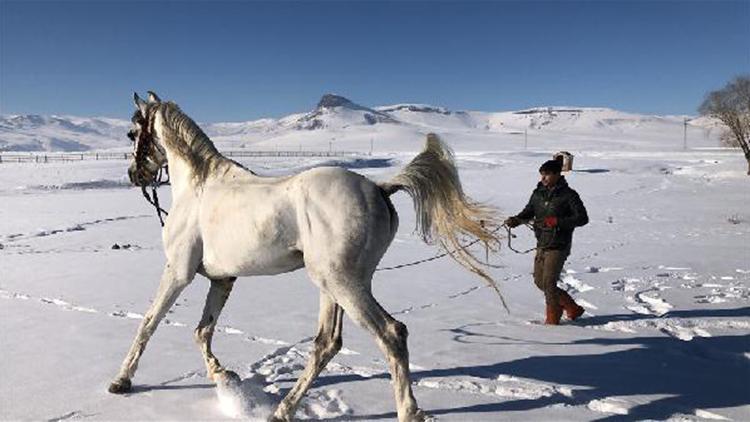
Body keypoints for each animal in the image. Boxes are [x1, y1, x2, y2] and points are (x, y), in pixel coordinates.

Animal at [108, 93, 506, 422]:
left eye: (131, 132)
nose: (134, 175)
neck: (199, 187)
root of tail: (379, 188)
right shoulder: (222, 279)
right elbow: (202, 331)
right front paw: (223, 377)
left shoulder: (179, 272)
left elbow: (149, 323)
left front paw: (121, 381)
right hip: (334, 284)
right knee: (326, 343)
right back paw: (283, 410)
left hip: (341, 283)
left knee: (391, 334)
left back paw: (407, 412)